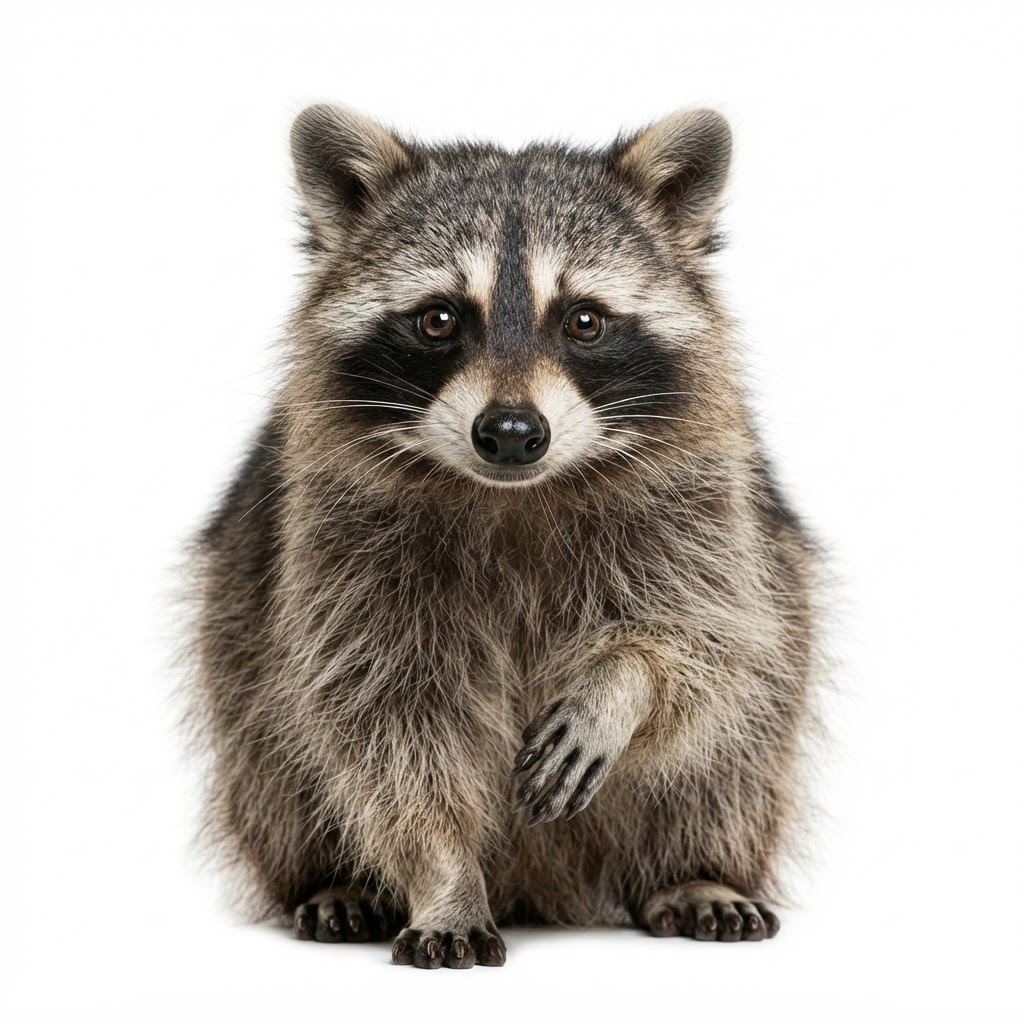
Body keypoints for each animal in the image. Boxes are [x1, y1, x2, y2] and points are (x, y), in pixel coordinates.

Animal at [189, 103, 820, 969]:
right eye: (438, 319)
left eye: (584, 320)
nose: (514, 433)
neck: (514, 494)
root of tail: (545, 887)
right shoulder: (336, 548)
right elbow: (386, 723)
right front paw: (443, 875)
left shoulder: (710, 507)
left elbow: (716, 640)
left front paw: (623, 683)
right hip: (237, 633)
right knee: (267, 756)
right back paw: (332, 878)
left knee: (744, 745)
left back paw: (696, 868)